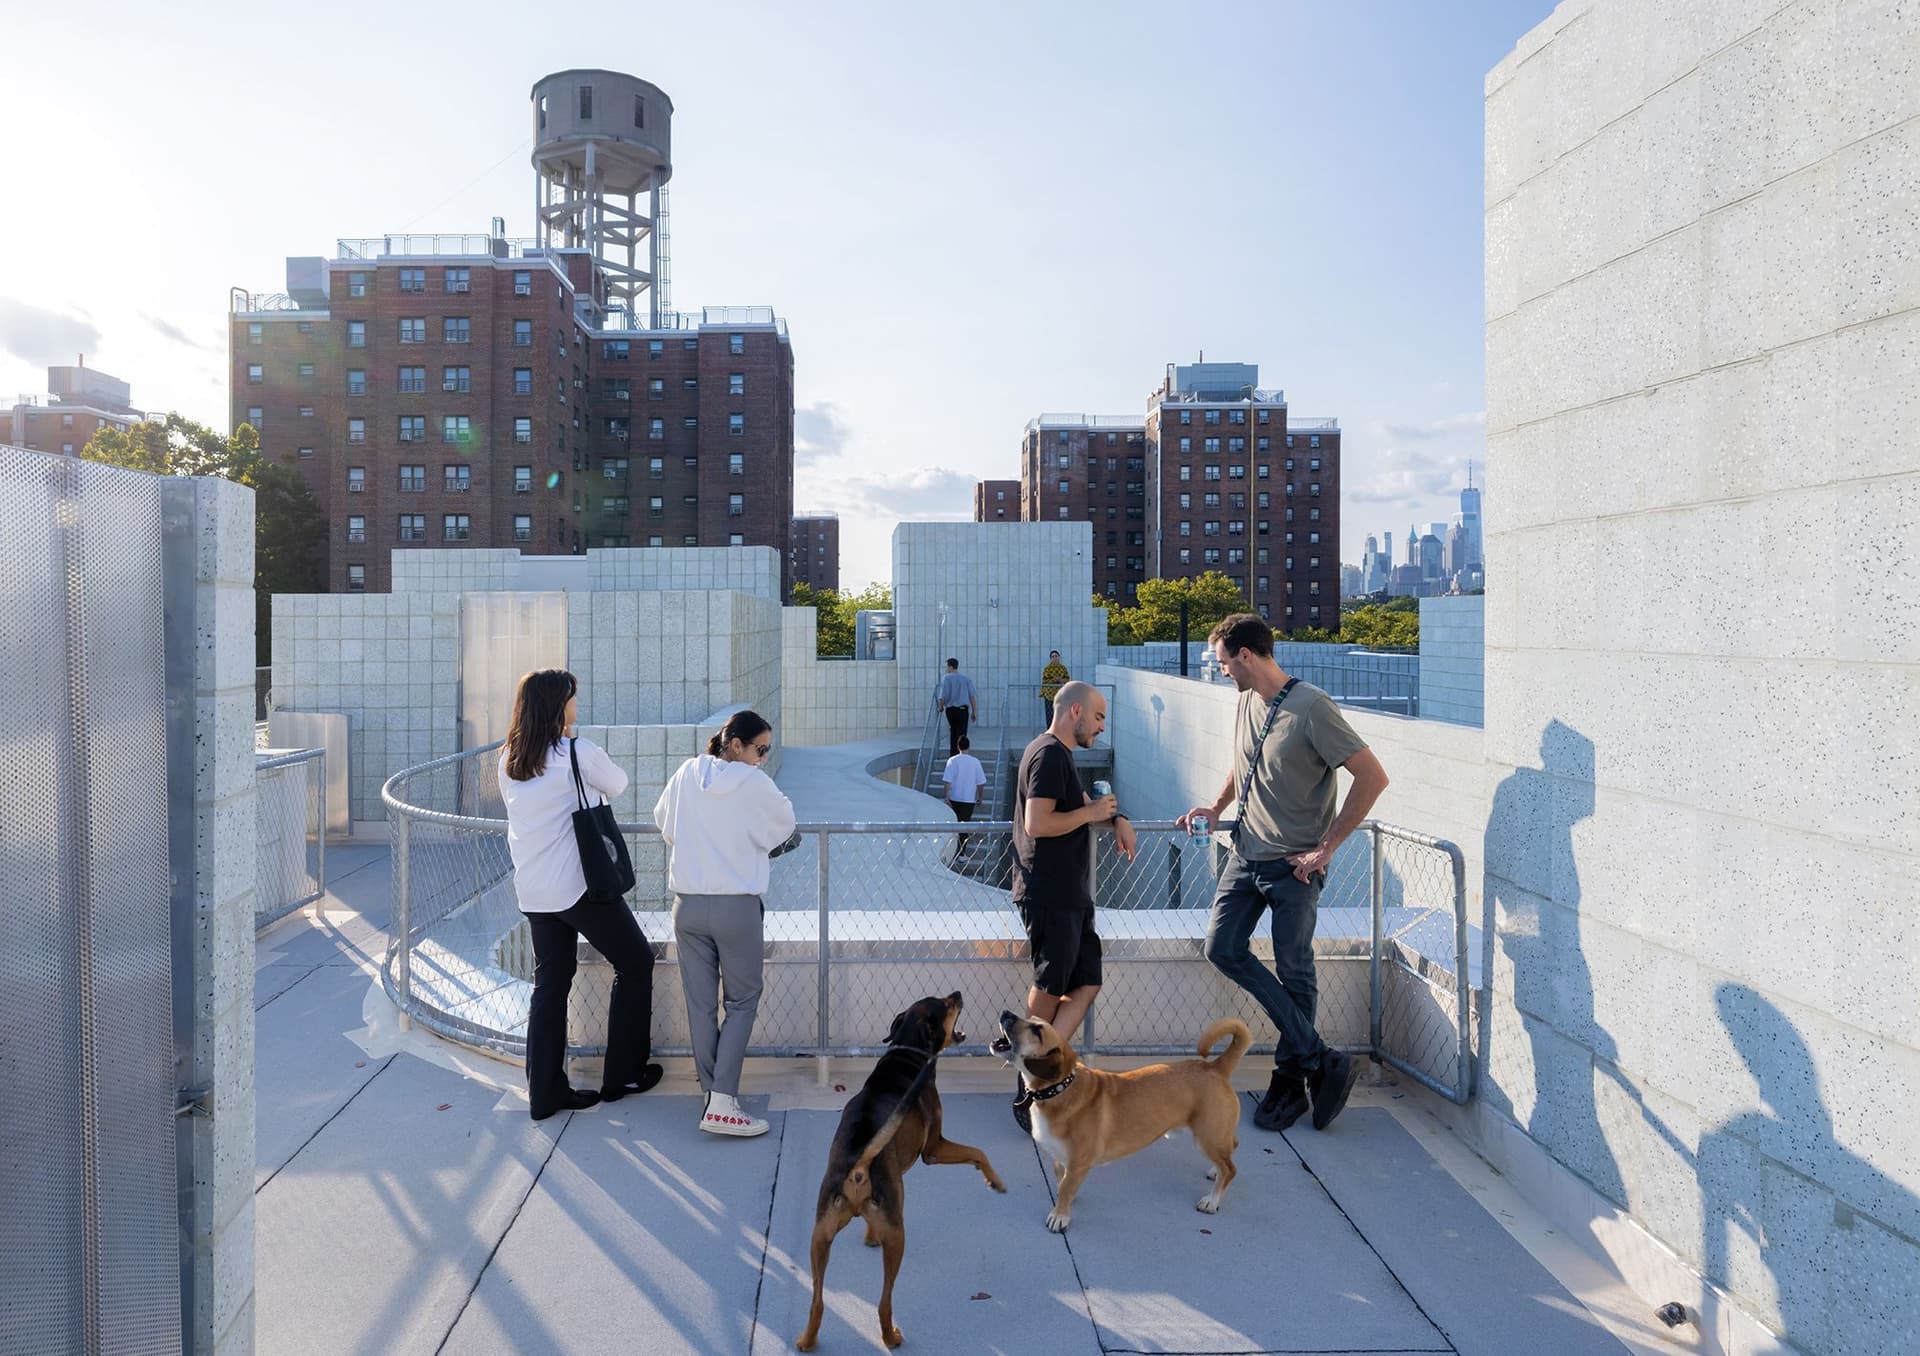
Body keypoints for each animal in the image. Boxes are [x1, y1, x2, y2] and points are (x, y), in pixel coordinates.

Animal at [794, 991, 1006, 1344]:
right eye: (946, 1005)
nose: (958, 993)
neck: (907, 1052)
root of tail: (859, 1165)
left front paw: (869, 1235)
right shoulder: (934, 1149)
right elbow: (978, 1152)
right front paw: (995, 1182)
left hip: (819, 1237)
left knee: (817, 1302)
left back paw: (807, 1342)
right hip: (897, 1237)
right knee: (884, 1300)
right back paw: (891, 1336)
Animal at [998, 1006, 1251, 1236]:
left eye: (1037, 1030)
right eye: (1031, 1018)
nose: (1005, 1013)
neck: (1059, 1088)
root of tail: (1215, 1067)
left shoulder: (1078, 1162)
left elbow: (1066, 1189)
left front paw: (1060, 1215)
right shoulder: (1060, 1159)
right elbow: (1063, 1185)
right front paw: (1065, 1198)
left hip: (1207, 1136)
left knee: (1231, 1169)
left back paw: (1212, 1200)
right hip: (1215, 1135)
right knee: (1232, 1147)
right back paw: (1214, 1171)